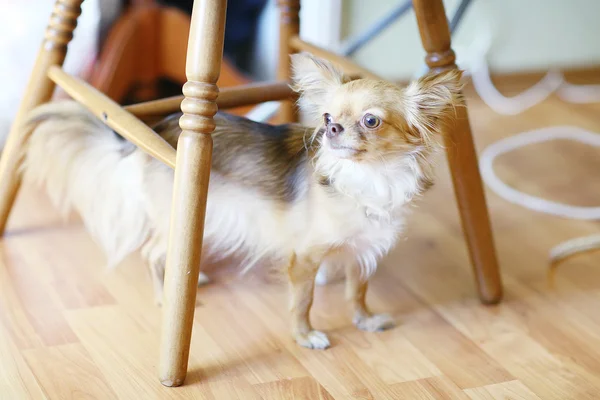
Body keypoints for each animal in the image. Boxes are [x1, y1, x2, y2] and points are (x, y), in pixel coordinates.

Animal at [23, 54, 462, 350]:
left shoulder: (363, 250)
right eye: (325, 117)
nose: (332, 129)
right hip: (179, 214)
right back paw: (167, 296)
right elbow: (303, 301)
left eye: (371, 121)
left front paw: (365, 322)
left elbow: (358, 292)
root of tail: (154, 133)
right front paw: (306, 336)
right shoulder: (303, 257)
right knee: (151, 254)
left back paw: (191, 277)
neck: (369, 177)